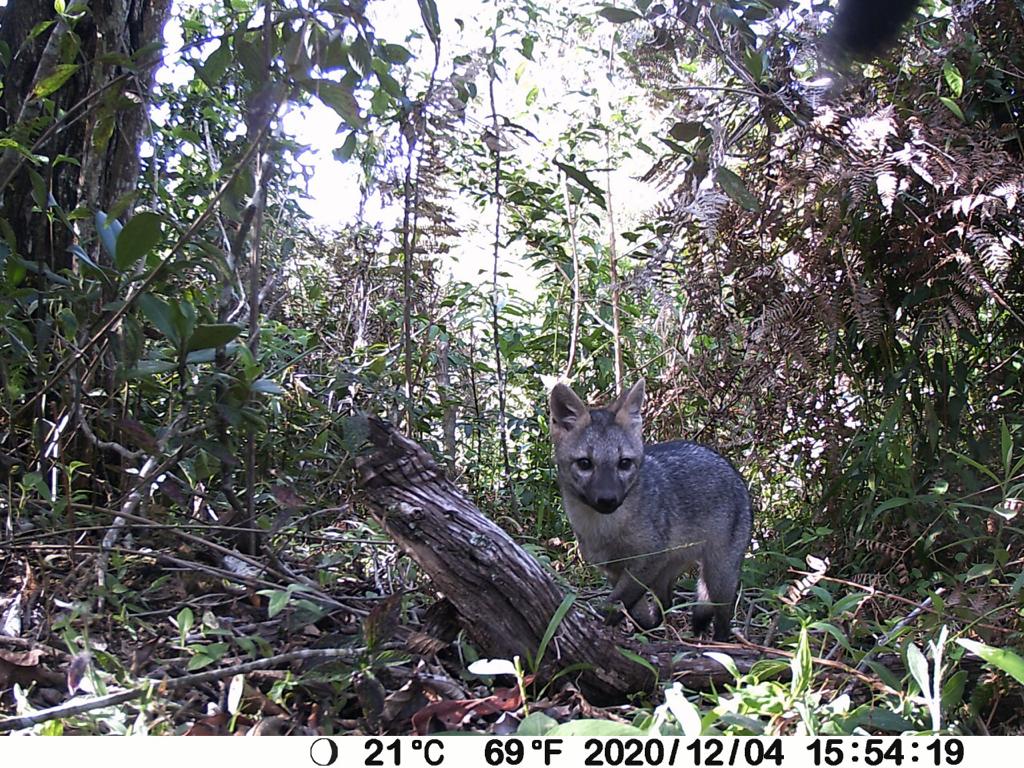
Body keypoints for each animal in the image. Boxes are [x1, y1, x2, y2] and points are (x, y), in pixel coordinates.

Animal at [552, 380, 753, 643]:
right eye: (585, 463)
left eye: (624, 463)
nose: (608, 499)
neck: (605, 530)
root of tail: (732, 469)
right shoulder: (616, 570)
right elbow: (629, 606)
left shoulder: (647, 562)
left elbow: (616, 603)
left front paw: (601, 626)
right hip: (665, 575)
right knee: (666, 604)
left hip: (719, 576)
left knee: (722, 619)